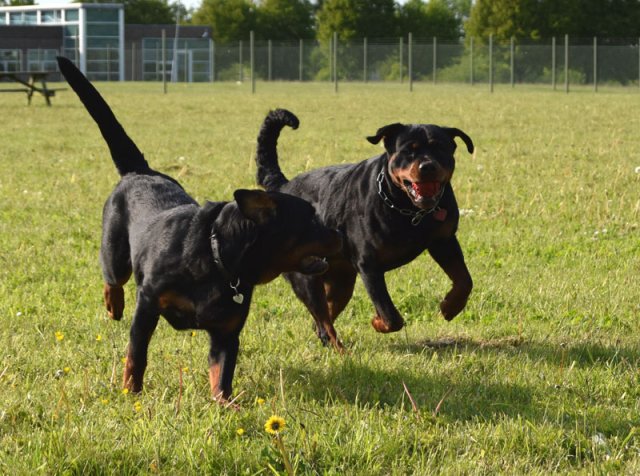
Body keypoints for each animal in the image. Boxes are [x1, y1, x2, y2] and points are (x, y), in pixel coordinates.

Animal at [57, 57, 342, 404]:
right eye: (311, 219)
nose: (341, 233)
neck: (217, 259)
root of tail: (140, 170)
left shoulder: (227, 331)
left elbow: (222, 373)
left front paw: (227, 405)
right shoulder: (147, 304)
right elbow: (136, 355)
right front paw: (131, 391)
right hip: (115, 253)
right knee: (113, 280)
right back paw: (114, 305)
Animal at [256, 109, 476, 352]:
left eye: (440, 148)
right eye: (408, 150)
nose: (427, 166)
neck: (408, 209)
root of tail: (283, 186)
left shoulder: (444, 241)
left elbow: (464, 280)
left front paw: (450, 306)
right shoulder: (369, 264)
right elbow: (390, 315)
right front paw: (377, 322)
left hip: (341, 281)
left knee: (323, 318)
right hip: (305, 276)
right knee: (323, 319)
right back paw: (341, 351)